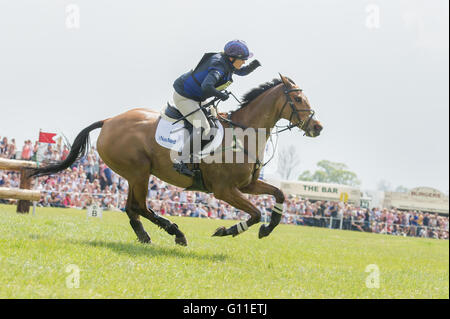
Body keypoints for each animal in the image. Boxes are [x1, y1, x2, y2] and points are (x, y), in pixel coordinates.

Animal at [28, 75, 324, 248]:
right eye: (298, 98)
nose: (318, 127)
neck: (244, 133)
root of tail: (109, 120)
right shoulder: (224, 190)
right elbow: (254, 213)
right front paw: (227, 230)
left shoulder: (247, 185)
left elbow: (280, 195)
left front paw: (267, 229)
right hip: (139, 172)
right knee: (140, 206)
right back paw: (176, 233)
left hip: (136, 175)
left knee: (132, 207)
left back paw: (145, 236)